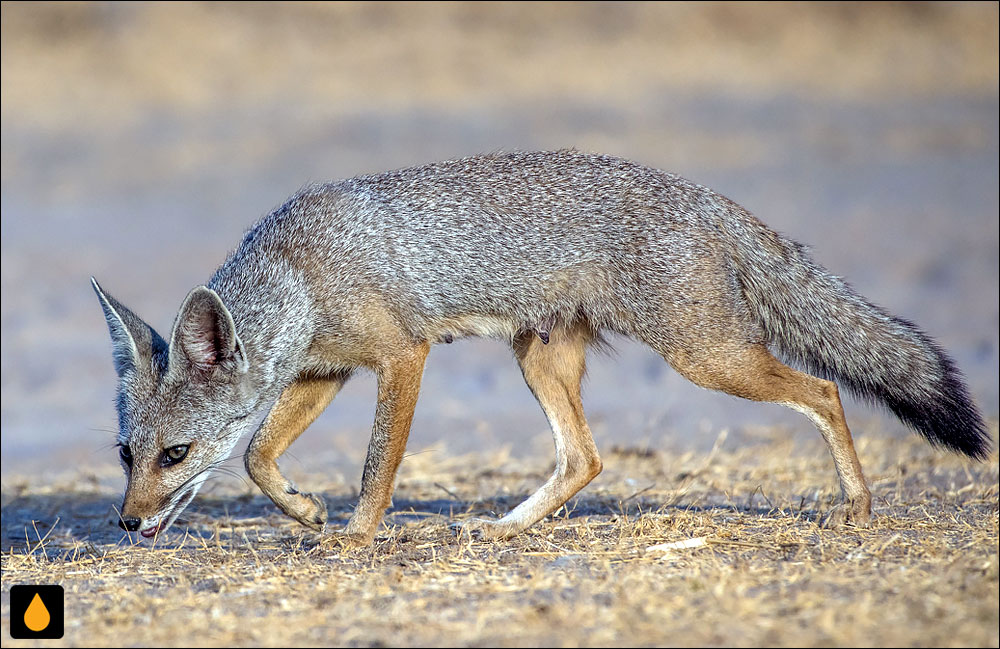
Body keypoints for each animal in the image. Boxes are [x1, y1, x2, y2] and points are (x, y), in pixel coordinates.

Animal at [94, 149, 992, 540]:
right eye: (126, 454)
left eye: (173, 454)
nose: (127, 522)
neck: (296, 270)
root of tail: (702, 193)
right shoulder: (326, 369)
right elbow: (256, 455)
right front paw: (308, 507)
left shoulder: (401, 358)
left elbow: (377, 465)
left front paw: (353, 533)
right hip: (540, 359)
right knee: (585, 457)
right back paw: (506, 526)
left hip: (706, 358)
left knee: (826, 389)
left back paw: (857, 504)